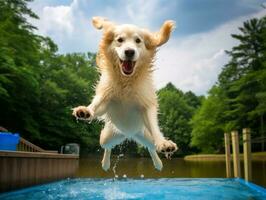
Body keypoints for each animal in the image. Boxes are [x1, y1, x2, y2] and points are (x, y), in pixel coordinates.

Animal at [71, 16, 178, 171]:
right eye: (120, 39)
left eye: (138, 41)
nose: (129, 52)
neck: (126, 81)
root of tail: (129, 134)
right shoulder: (106, 99)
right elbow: (96, 105)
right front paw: (85, 111)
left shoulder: (146, 105)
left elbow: (154, 124)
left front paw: (164, 143)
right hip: (107, 136)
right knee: (107, 146)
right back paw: (105, 164)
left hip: (145, 134)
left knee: (151, 147)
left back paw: (158, 163)